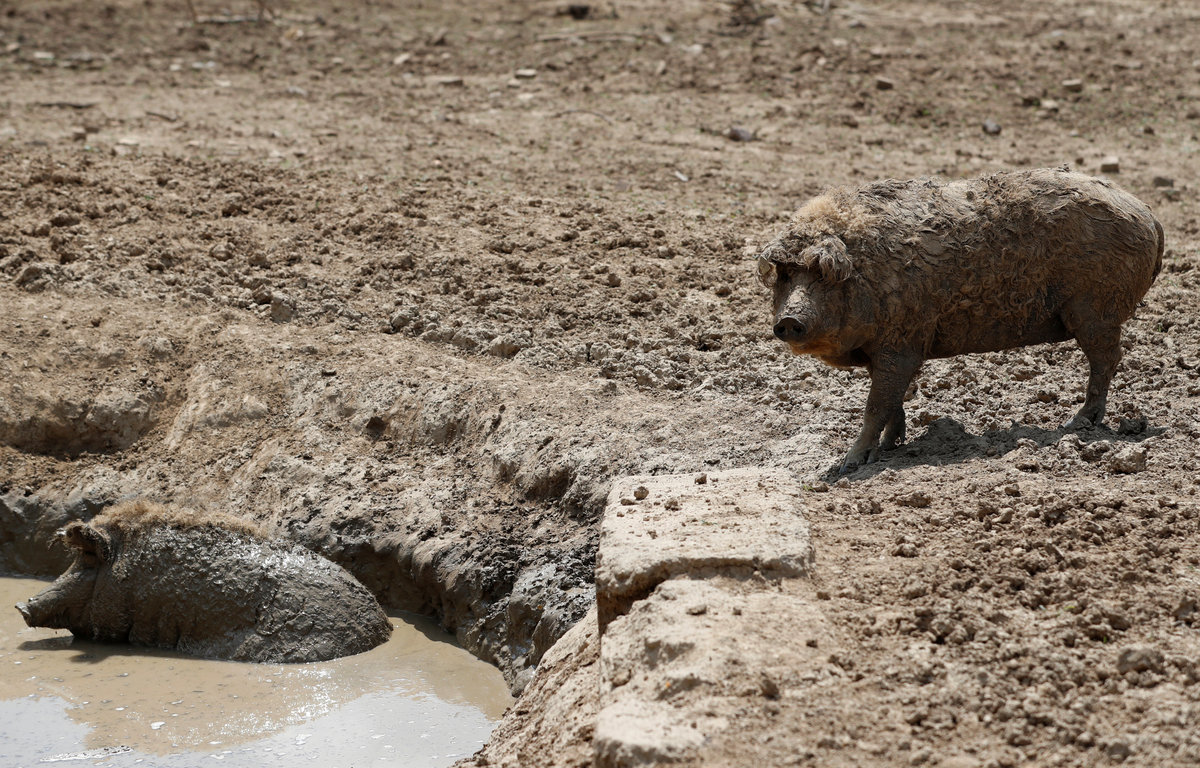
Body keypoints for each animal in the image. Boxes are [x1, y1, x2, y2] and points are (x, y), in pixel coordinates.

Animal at [757, 167, 1164, 472]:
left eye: (823, 274)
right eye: (786, 275)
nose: (789, 319)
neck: (869, 277)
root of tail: (1146, 212)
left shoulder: (902, 344)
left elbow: (875, 405)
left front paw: (847, 466)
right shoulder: (888, 351)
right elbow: (891, 400)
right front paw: (891, 446)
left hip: (1096, 309)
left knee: (1108, 359)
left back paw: (1077, 424)